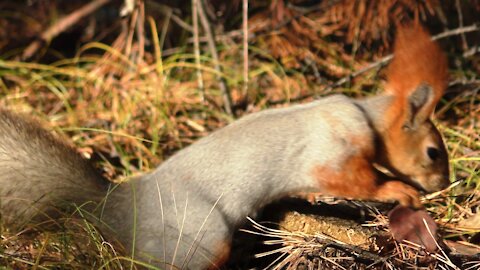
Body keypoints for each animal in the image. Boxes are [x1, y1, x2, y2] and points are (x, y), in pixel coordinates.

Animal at [0, 22, 450, 268]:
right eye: (433, 151)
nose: (444, 184)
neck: (364, 117)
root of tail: (115, 206)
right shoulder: (330, 154)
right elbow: (355, 181)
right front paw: (400, 191)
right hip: (199, 236)